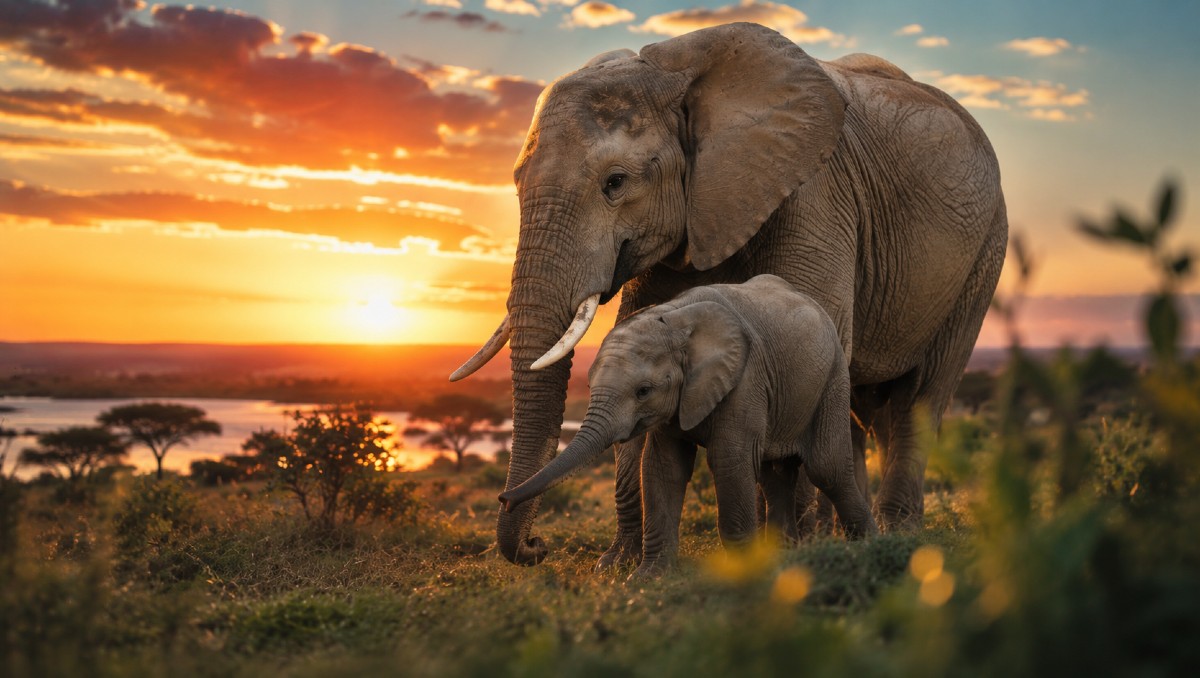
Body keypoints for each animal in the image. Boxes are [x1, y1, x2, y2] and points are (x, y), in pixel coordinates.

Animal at [499, 276, 878, 577]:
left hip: (833, 377)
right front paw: (646, 578)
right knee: (776, 475)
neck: (675, 319)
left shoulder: (746, 379)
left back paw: (870, 546)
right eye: (589, 385)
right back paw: (784, 557)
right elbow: (662, 467)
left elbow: (729, 461)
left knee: (826, 467)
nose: (538, 543)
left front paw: (742, 574)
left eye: (643, 391)